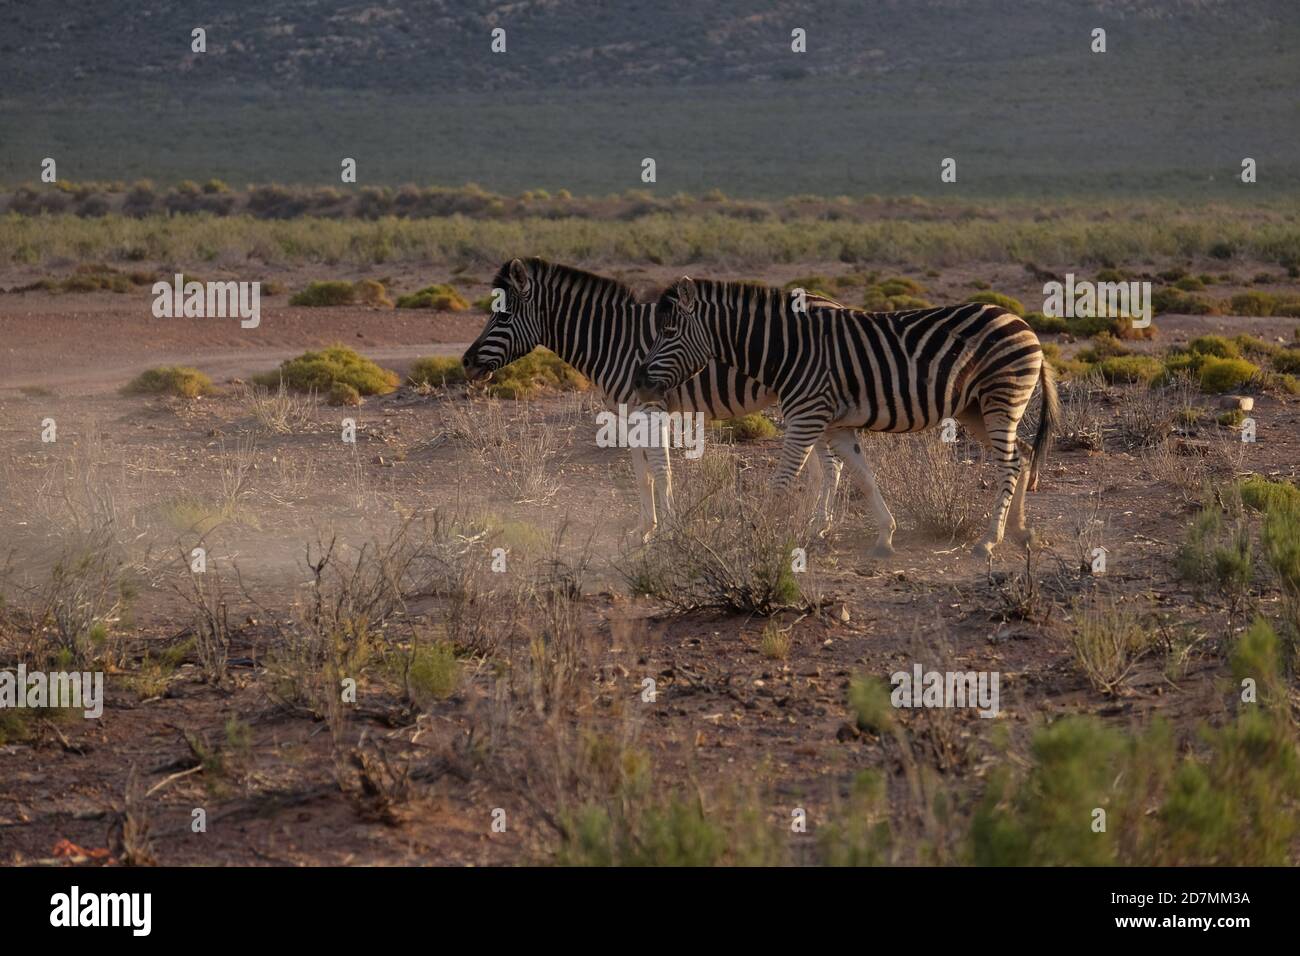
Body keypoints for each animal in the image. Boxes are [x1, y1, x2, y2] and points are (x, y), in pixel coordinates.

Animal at [460, 258, 848, 539]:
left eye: (503, 316)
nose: (466, 362)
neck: (610, 340)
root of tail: (834, 301)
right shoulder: (628, 411)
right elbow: (641, 473)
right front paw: (645, 529)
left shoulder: (650, 408)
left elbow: (662, 471)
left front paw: (671, 530)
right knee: (821, 467)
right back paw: (811, 521)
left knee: (831, 465)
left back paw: (818, 526)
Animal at [632, 277, 1060, 559]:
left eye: (668, 332)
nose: (639, 381)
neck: (787, 350)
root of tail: (1024, 325)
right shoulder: (835, 425)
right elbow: (863, 476)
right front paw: (885, 536)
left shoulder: (806, 417)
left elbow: (781, 482)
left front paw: (756, 535)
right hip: (977, 410)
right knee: (1022, 454)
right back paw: (1020, 531)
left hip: (999, 400)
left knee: (1010, 462)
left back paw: (989, 540)